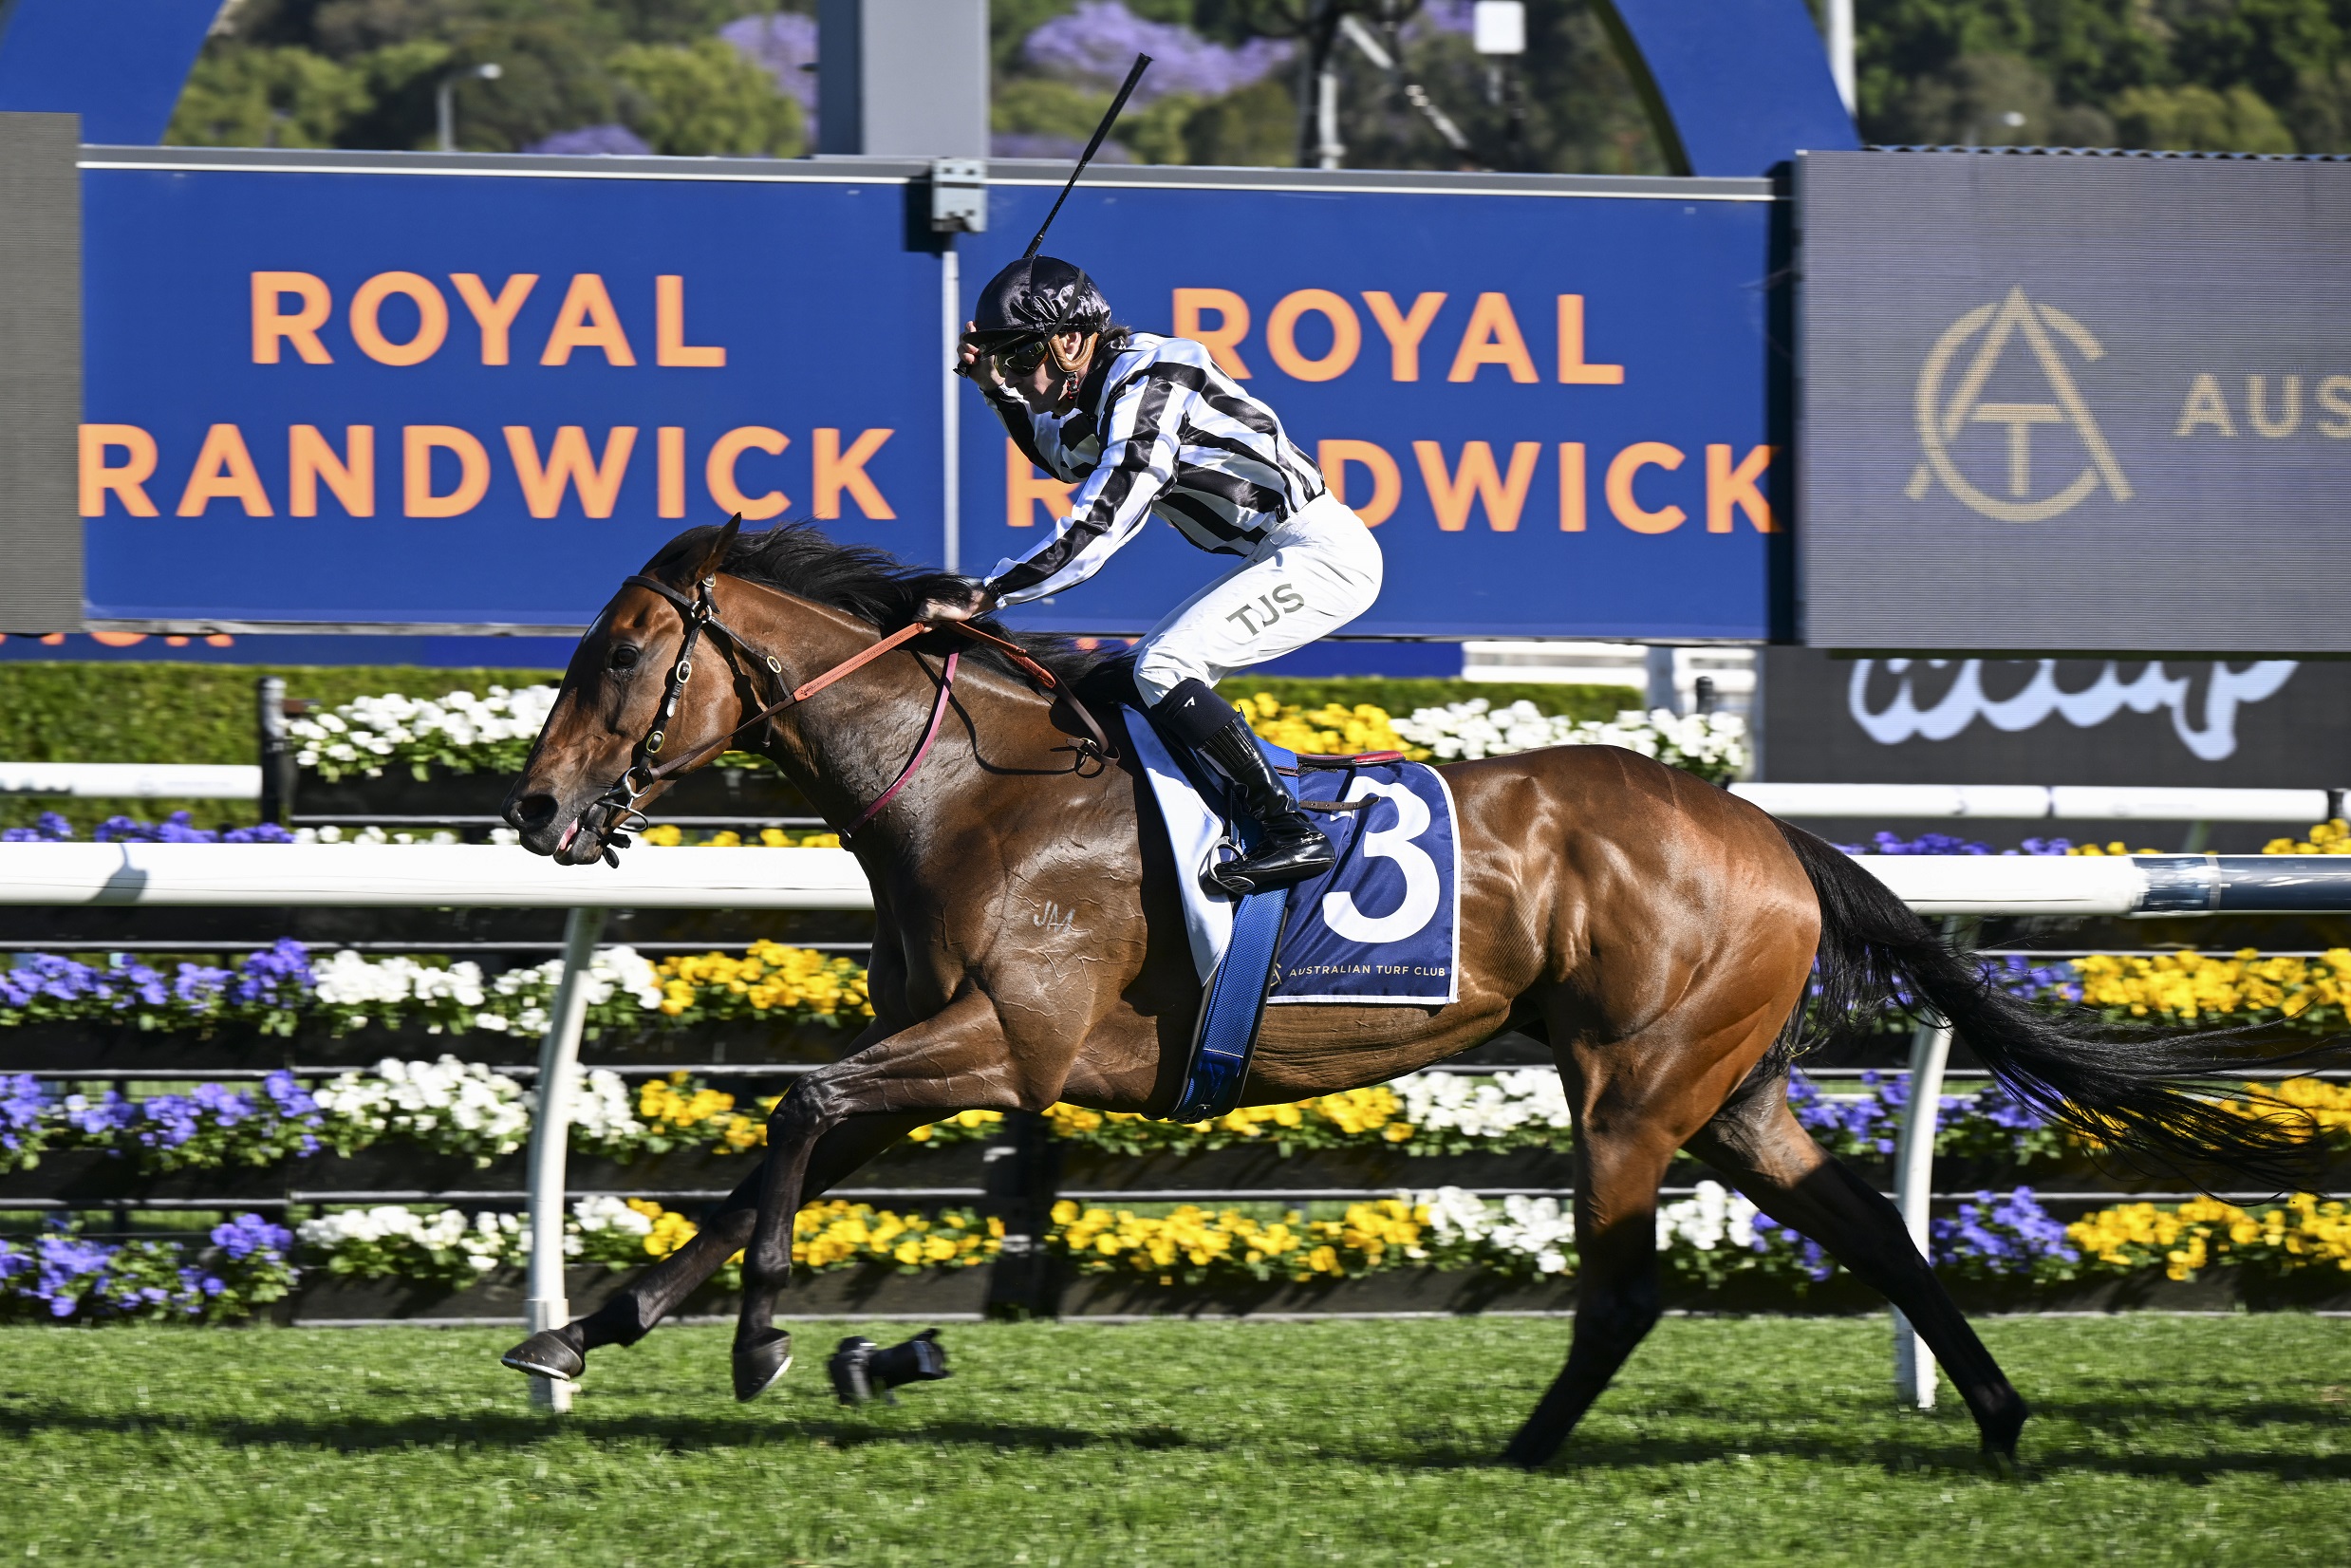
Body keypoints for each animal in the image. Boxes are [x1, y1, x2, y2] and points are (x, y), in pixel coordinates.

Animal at [498, 518, 2324, 1467]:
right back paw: (1999, 1415)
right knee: (1873, 1226)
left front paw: (760, 1339)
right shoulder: (944, 1043)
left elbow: (799, 1109)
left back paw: (1522, 1449)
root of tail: (1768, 831)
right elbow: (775, 1150)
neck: (973, 792)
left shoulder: (1007, 1046)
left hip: (1632, 1086)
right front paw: (589, 1327)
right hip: (1729, 1090)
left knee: (1623, 1288)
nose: (534, 807)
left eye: (617, 658)